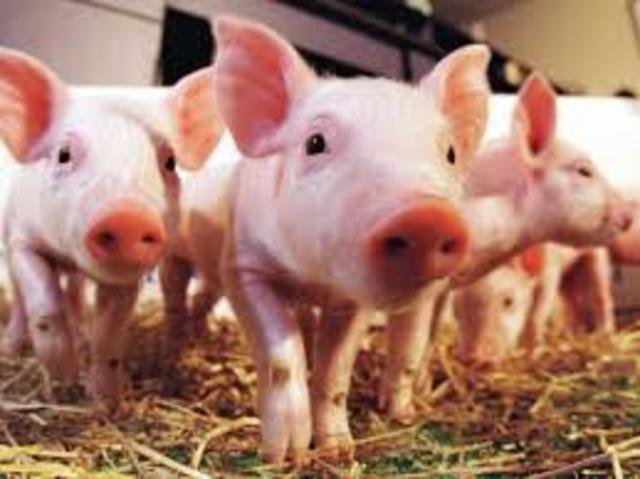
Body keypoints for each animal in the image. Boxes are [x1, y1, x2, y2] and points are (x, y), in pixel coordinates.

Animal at [0, 47, 223, 407]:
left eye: (170, 162)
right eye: (63, 154)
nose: (128, 216)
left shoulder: (126, 278)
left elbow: (109, 333)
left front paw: (105, 402)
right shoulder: (22, 241)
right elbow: (45, 305)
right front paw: (64, 376)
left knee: (75, 292)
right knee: (22, 302)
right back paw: (11, 348)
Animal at [162, 16, 492, 464]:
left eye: (451, 153)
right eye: (315, 143)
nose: (429, 217)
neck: (313, 278)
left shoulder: (350, 302)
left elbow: (335, 373)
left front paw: (338, 452)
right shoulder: (242, 266)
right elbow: (283, 356)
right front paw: (286, 456)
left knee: (204, 299)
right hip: (174, 256)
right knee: (175, 294)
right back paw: (176, 344)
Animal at [390, 73, 634, 418]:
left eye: (508, 302)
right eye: (584, 170)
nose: (629, 213)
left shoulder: (546, 268)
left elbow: (535, 313)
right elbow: (418, 342)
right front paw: (409, 410)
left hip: (596, 259)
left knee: (599, 297)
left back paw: (601, 335)